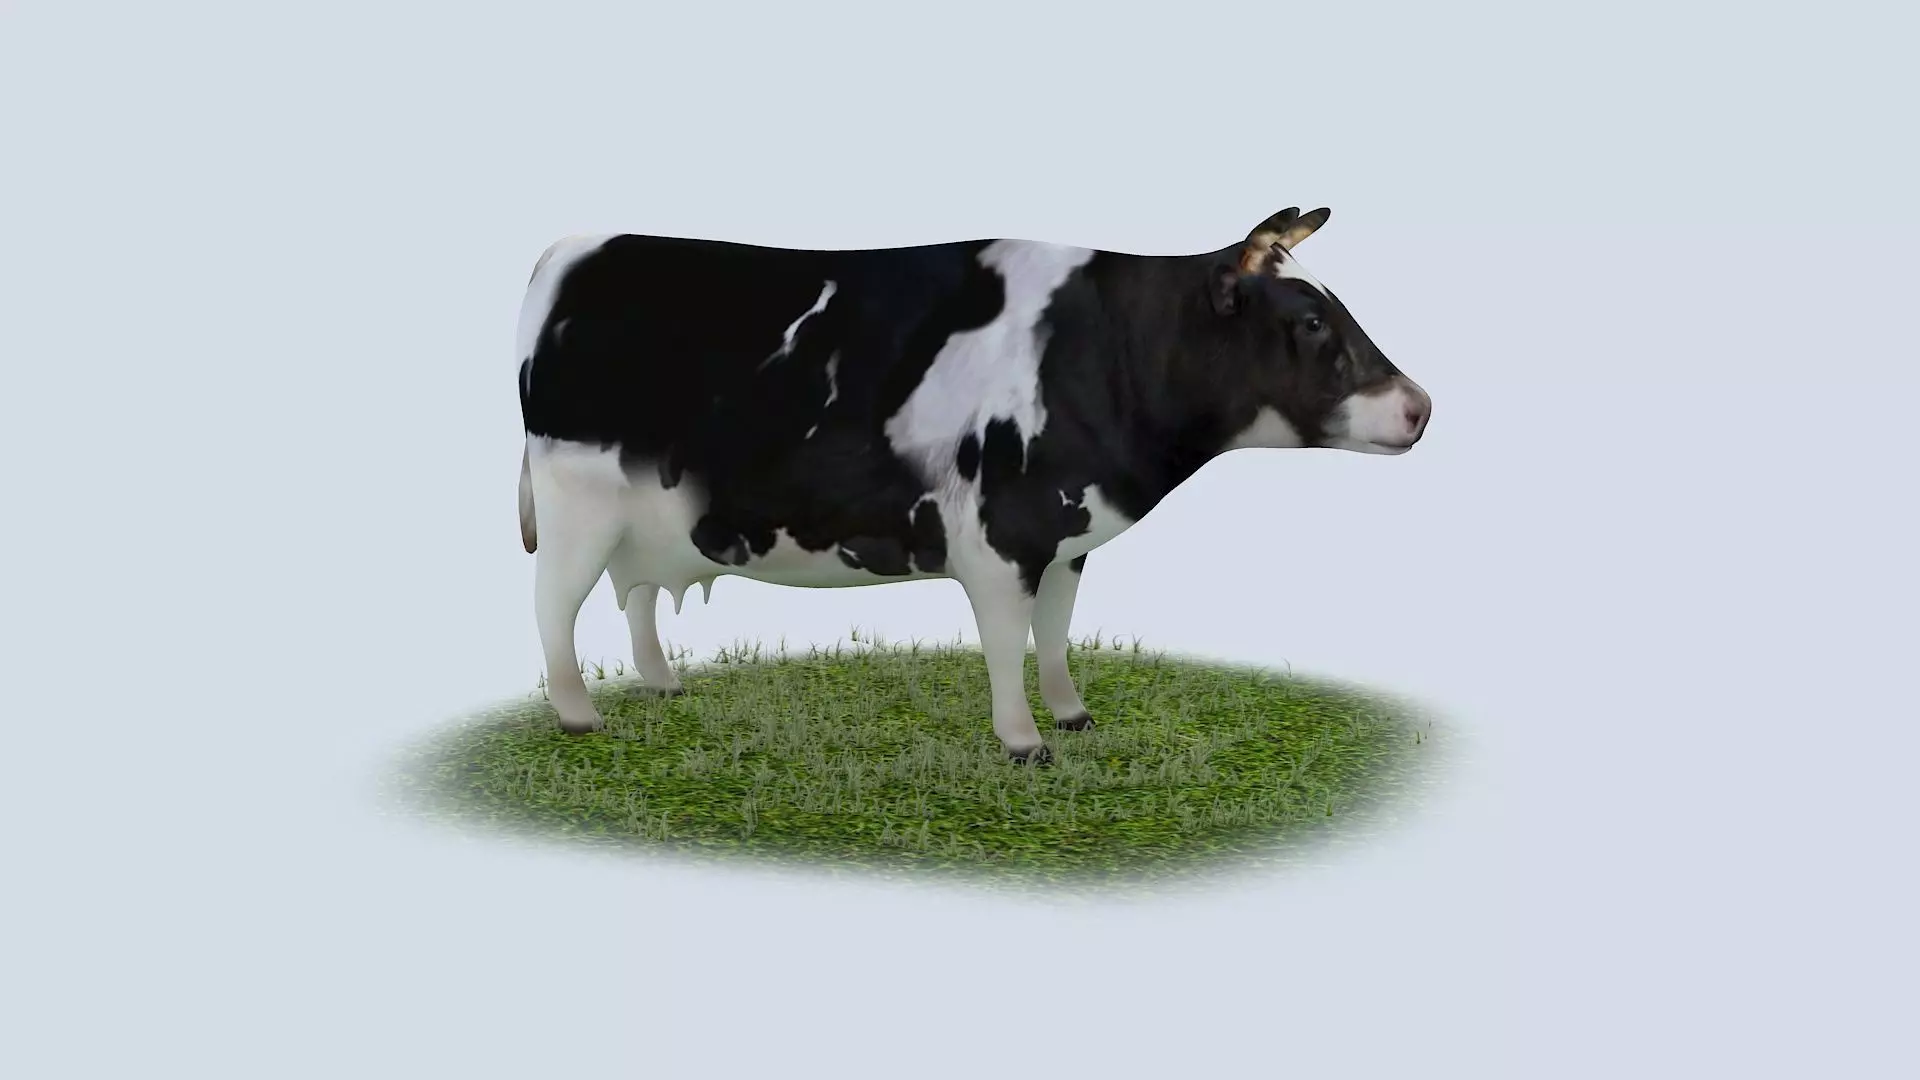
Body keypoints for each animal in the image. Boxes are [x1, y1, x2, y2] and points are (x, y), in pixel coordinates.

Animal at [513, 207, 1430, 764]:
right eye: (1309, 320)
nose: (1421, 407)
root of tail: (577, 247)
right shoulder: (998, 538)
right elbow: (1004, 639)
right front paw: (1024, 742)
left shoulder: (1067, 536)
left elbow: (1056, 631)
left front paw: (1072, 714)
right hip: (577, 502)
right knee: (555, 603)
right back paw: (578, 713)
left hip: (645, 515)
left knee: (635, 591)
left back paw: (663, 684)